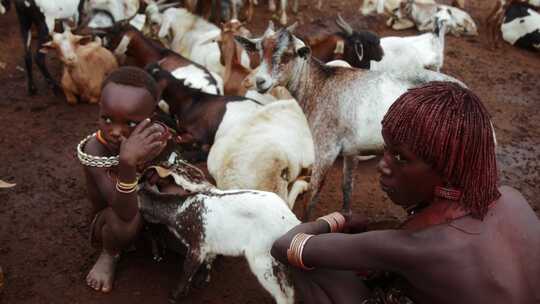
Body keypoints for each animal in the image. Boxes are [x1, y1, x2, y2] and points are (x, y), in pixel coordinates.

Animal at [137, 156, 298, 302]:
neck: (179, 208)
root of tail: (290, 221)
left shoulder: (197, 247)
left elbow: (186, 270)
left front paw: (175, 295)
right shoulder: (208, 244)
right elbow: (208, 262)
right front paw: (202, 281)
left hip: (261, 260)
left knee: (281, 294)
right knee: (289, 289)